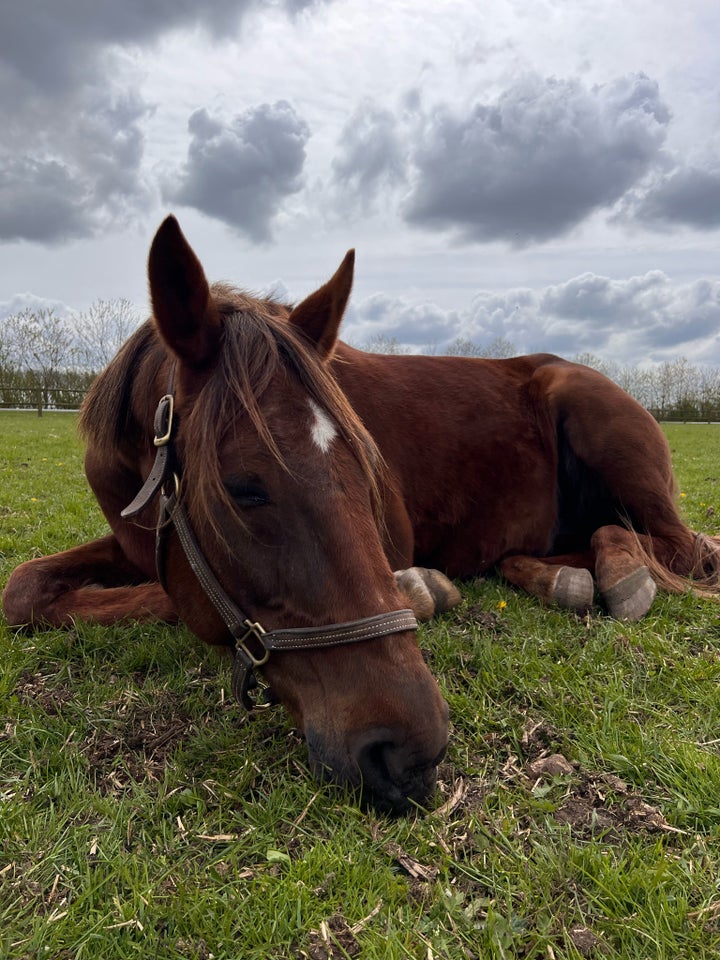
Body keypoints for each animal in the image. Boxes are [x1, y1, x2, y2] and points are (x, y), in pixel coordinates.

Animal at [1, 216, 720, 808]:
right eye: (243, 488)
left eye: (368, 470)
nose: (413, 752)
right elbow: (24, 588)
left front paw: (417, 587)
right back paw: (558, 575)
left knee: (672, 545)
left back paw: (617, 575)